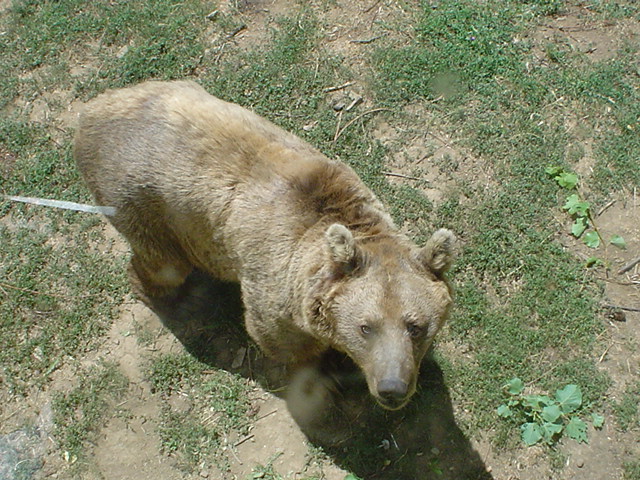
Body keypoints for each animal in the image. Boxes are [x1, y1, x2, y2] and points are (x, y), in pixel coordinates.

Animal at [73, 80, 455, 410]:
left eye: (415, 326)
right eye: (367, 326)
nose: (392, 389)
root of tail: (90, 111)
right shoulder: (275, 283)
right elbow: (280, 340)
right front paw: (323, 376)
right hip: (142, 200)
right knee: (166, 263)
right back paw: (153, 290)